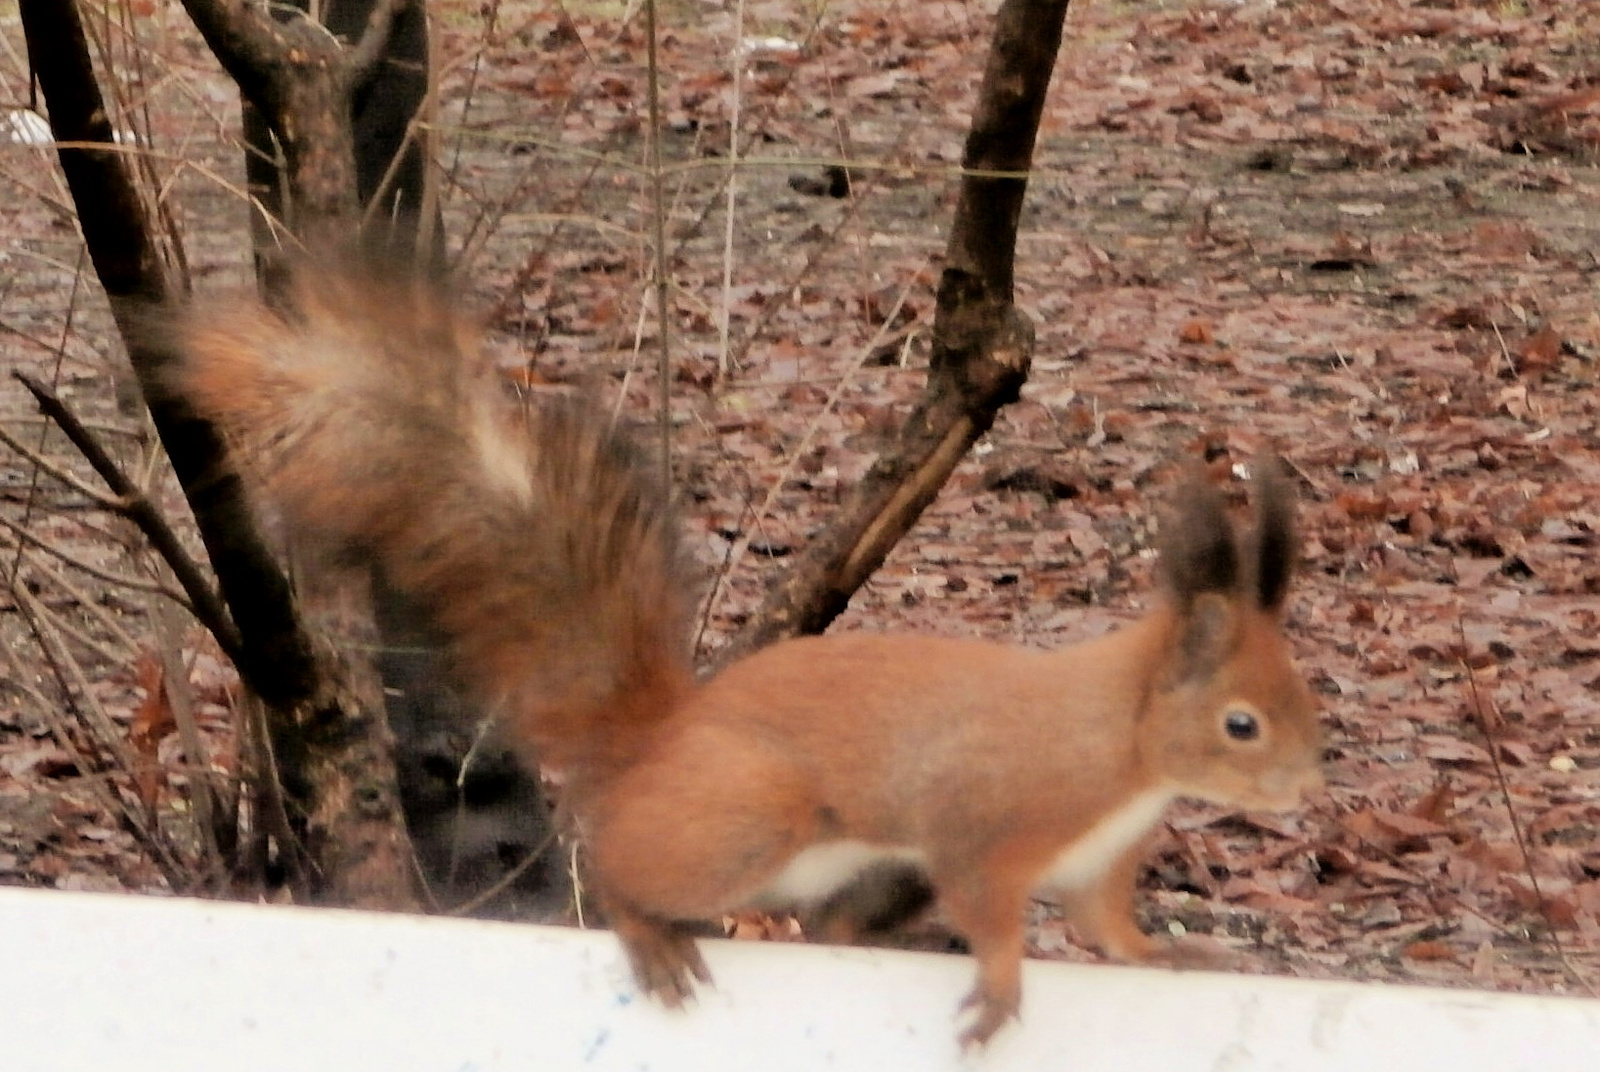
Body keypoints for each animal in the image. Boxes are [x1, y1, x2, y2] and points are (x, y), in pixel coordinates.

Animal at [168, 267, 1318, 1049]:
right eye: (1241, 723)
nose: (1302, 787)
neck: (1121, 748)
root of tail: (661, 739)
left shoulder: (1093, 869)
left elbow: (1110, 928)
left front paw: (1173, 951)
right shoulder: (984, 823)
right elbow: (989, 902)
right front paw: (999, 988)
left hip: (843, 864)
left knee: (813, 919)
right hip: (754, 813)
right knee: (620, 862)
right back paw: (647, 929)